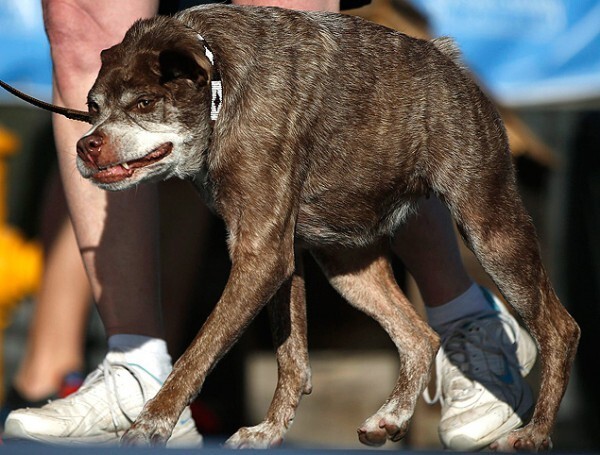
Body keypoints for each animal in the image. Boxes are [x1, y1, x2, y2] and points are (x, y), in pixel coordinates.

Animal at [38, 3, 580, 450]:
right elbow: (291, 355)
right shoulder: (278, 252)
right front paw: (270, 429)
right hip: (345, 263)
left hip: (491, 230)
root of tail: (450, 60)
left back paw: (534, 433)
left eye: (145, 104)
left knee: (560, 328)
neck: (220, 87)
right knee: (418, 336)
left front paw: (151, 424)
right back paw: (390, 416)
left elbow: (199, 352)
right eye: (91, 107)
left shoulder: (261, 258)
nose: (87, 144)